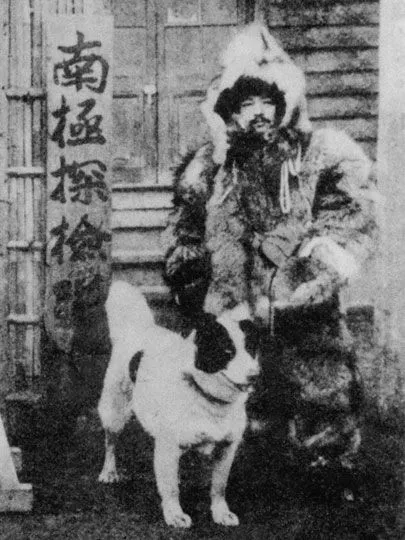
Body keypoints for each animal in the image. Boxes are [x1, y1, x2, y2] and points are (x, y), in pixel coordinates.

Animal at [98, 281, 260, 528]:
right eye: (227, 352)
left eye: (251, 350)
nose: (254, 376)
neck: (205, 395)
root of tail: (142, 329)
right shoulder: (169, 449)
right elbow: (171, 488)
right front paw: (174, 514)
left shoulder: (226, 449)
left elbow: (219, 487)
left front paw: (220, 512)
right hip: (114, 413)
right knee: (111, 443)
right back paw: (109, 471)